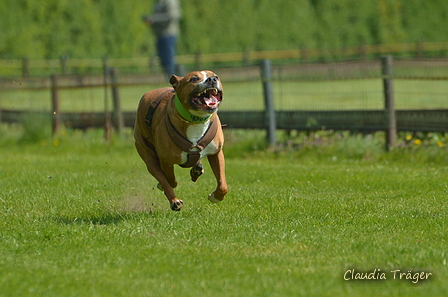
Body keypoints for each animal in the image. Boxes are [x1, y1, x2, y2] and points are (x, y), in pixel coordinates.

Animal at [133, 70, 228, 209]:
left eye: (216, 76)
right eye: (194, 79)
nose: (212, 79)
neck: (195, 120)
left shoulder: (216, 152)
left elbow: (223, 185)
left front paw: (215, 197)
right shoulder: (166, 161)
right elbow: (169, 180)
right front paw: (166, 188)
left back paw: (196, 169)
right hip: (147, 154)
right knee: (161, 174)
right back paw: (174, 200)